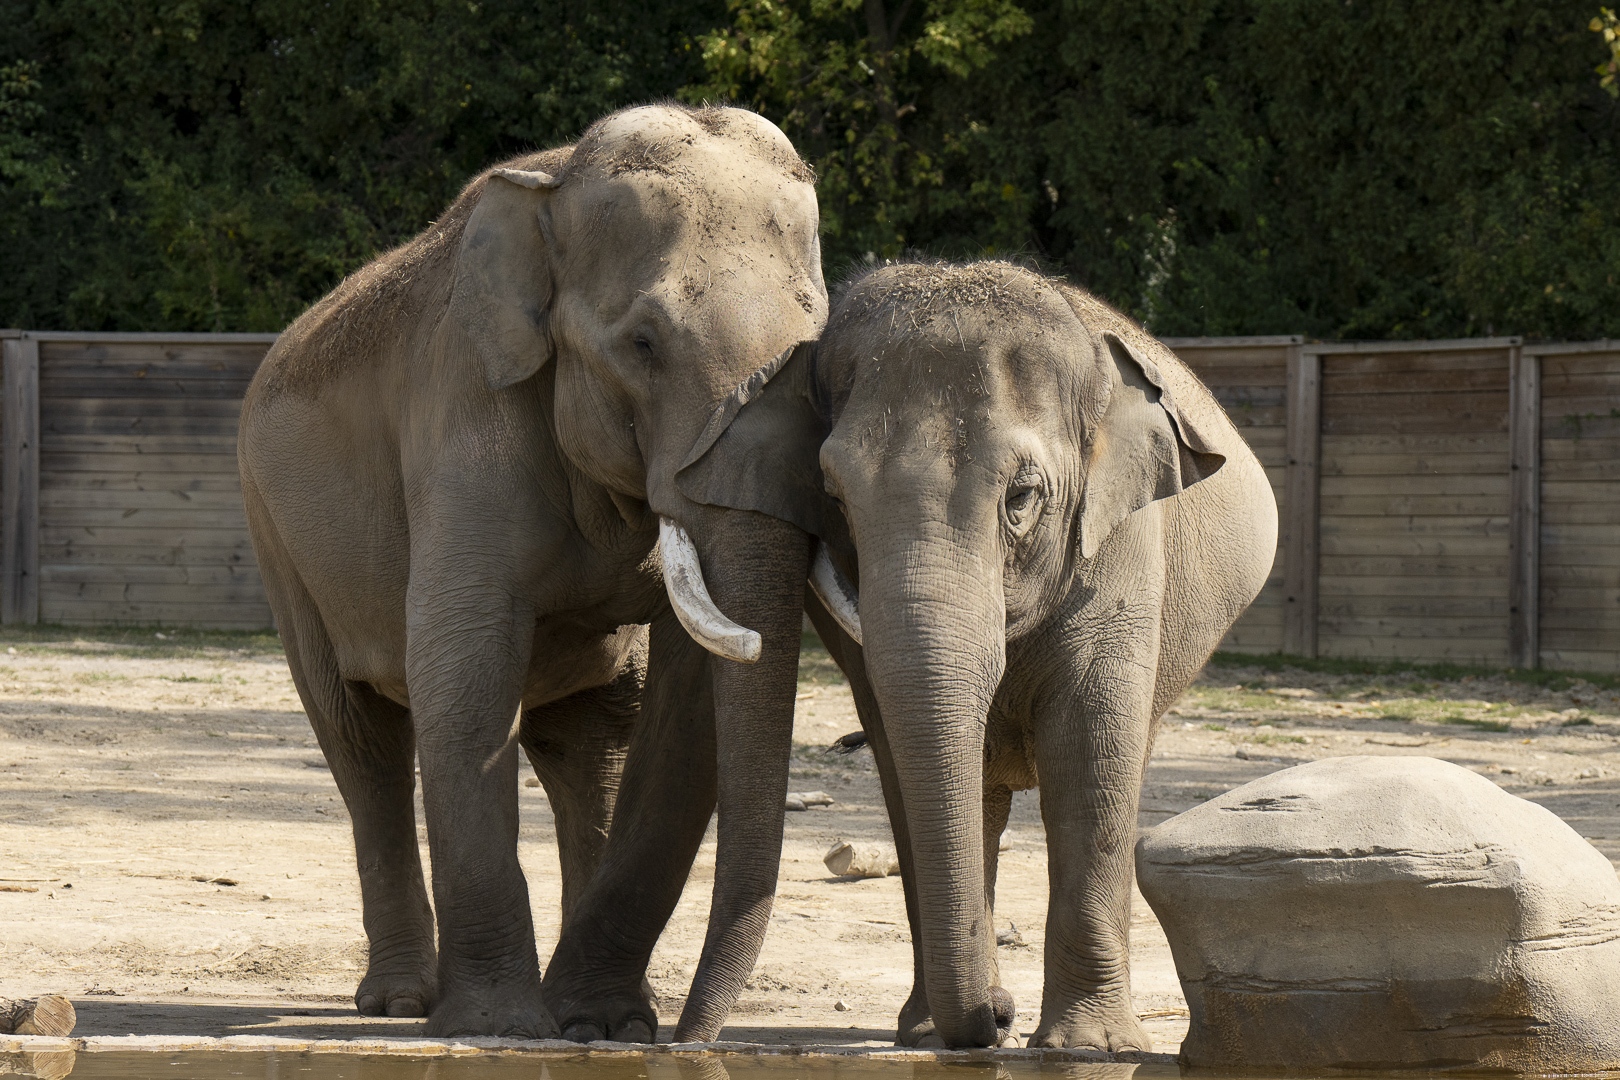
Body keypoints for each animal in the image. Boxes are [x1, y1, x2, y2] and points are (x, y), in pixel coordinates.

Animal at [238, 103, 831, 1040]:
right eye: (644, 343)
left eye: (820, 352)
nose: (693, 1044)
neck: (555, 190)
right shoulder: (468, 413)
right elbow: (467, 669)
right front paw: (499, 1029)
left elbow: (686, 694)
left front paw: (603, 1027)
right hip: (277, 540)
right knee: (362, 739)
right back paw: (403, 1003)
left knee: (597, 739)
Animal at [678, 260, 1277, 1048]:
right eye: (834, 495)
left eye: (1022, 497)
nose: (999, 1014)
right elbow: (901, 755)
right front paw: (942, 1033)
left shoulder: (1122, 543)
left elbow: (1091, 752)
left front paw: (1089, 1047)